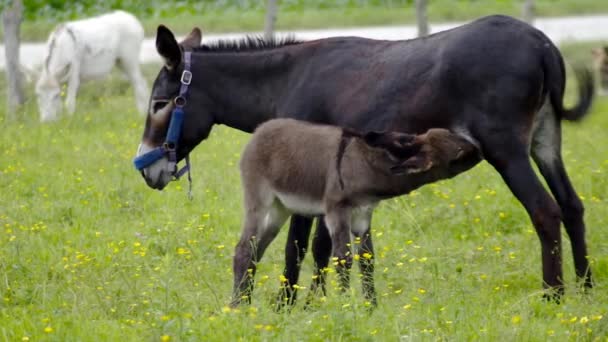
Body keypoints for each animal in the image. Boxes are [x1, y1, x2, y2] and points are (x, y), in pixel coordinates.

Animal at [233, 119, 480, 306]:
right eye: (458, 154)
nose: (479, 150)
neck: (364, 167)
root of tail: (261, 129)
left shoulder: (362, 215)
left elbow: (367, 260)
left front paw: (371, 308)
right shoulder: (337, 212)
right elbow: (343, 258)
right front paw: (346, 305)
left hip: (279, 210)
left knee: (256, 250)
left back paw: (244, 302)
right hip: (259, 202)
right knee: (243, 249)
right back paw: (237, 306)